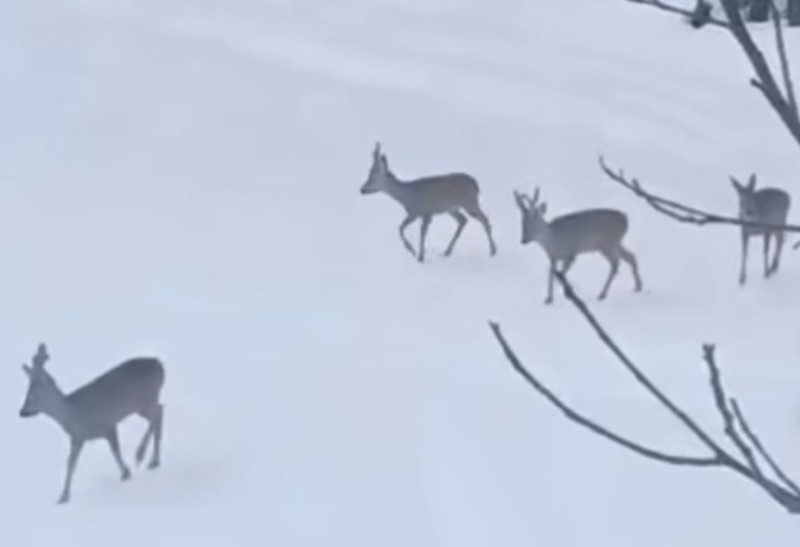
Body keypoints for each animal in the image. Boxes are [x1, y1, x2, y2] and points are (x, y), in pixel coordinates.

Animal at [19, 342, 166, 506]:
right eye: (27, 393)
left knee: (157, 414)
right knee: (160, 411)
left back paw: (141, 454)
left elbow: (115, 450)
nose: (22, 412)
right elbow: (70, 464)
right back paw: (153, 461)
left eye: (32, 395)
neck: (72, 413)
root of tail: (158, 363)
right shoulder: (77, 438)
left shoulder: (108, 425)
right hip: (143, 405)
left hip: (145, 399)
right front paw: (63, 496)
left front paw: (126, 472)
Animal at [360, 140, 496, 262]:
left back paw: (493, 250)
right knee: (463, 220)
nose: (362, 189)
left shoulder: (425, 212)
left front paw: (418, 255)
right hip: (452, 208)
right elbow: (401, 228)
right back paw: (447, 251)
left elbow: (419, 233)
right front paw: (414, 251)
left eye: (372, 175)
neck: (407, 196)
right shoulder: (415, 213)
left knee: (484, 219)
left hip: (469, 202)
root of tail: (476, 184)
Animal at [512, 188, 644, 306]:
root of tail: (626, 219)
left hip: (607, 244)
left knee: (616, 264)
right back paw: (638, 287)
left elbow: (562, 274)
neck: (552, 241)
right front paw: (548, 298)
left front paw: (565, 293)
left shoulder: (571, 253)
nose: (524, 240)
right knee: (631, 257)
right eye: (523, 223)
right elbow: (551, 274)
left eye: (535, 220)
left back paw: (602, 294)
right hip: (615, 243)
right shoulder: (553, 257)